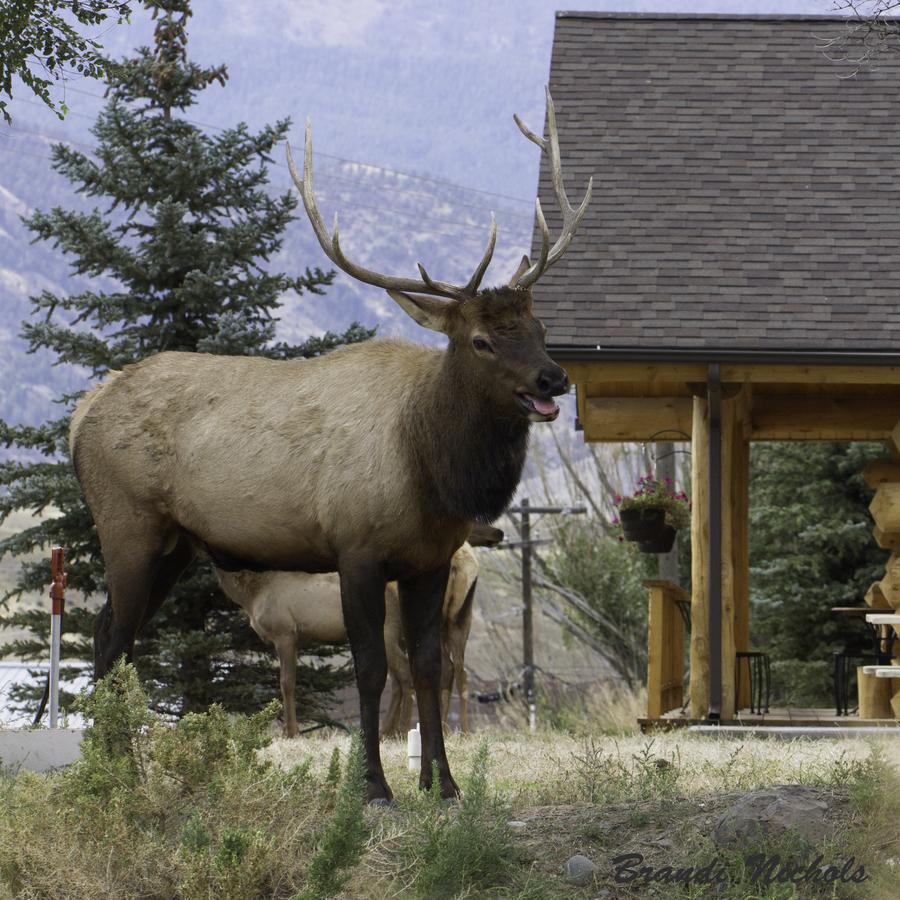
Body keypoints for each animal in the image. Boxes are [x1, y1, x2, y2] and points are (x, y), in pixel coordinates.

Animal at [70, 86, 592, 800]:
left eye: (538, 328)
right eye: (481, 340)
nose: (553, 378)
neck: (430, 466)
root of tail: (81, 415)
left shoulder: (430, 559)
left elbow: (427, 665)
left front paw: (443, 785)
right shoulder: (356, 547)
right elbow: (370, 667)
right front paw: (373, 787)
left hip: (175, 542)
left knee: (115, 636)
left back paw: (122, 769)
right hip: (127, 522)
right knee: (109, 637)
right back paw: (110, 775)